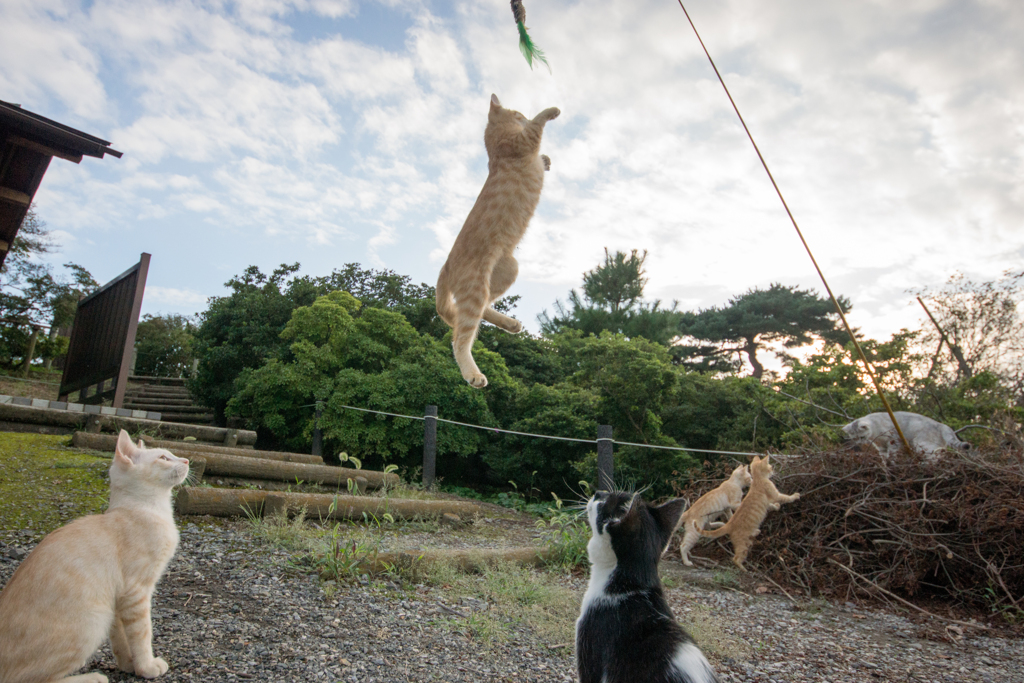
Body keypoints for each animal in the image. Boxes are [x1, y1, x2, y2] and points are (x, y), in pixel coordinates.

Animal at [0, 430, 190, 679]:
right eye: (164, 458)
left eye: (172, 455)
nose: (187, 460)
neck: (145, 508)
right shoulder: (137, 591)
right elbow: (142, 634)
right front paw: (147, 667)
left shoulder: (118, 600)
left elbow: (121, 639)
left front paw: (129, 665)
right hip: (93, 621)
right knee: (29, 678)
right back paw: (93, 678)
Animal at [434, 94, 561, 389]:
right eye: (517, 113)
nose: (522, 115)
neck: (493, 144)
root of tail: (445, 266)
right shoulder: (522, 141)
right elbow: (538, 125)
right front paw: (550, 112)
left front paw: (545, 159)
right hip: (476, 287)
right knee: (460, 337)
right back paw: (473, 374)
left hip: (506, 270)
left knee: (480, 310)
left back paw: (511, 325)